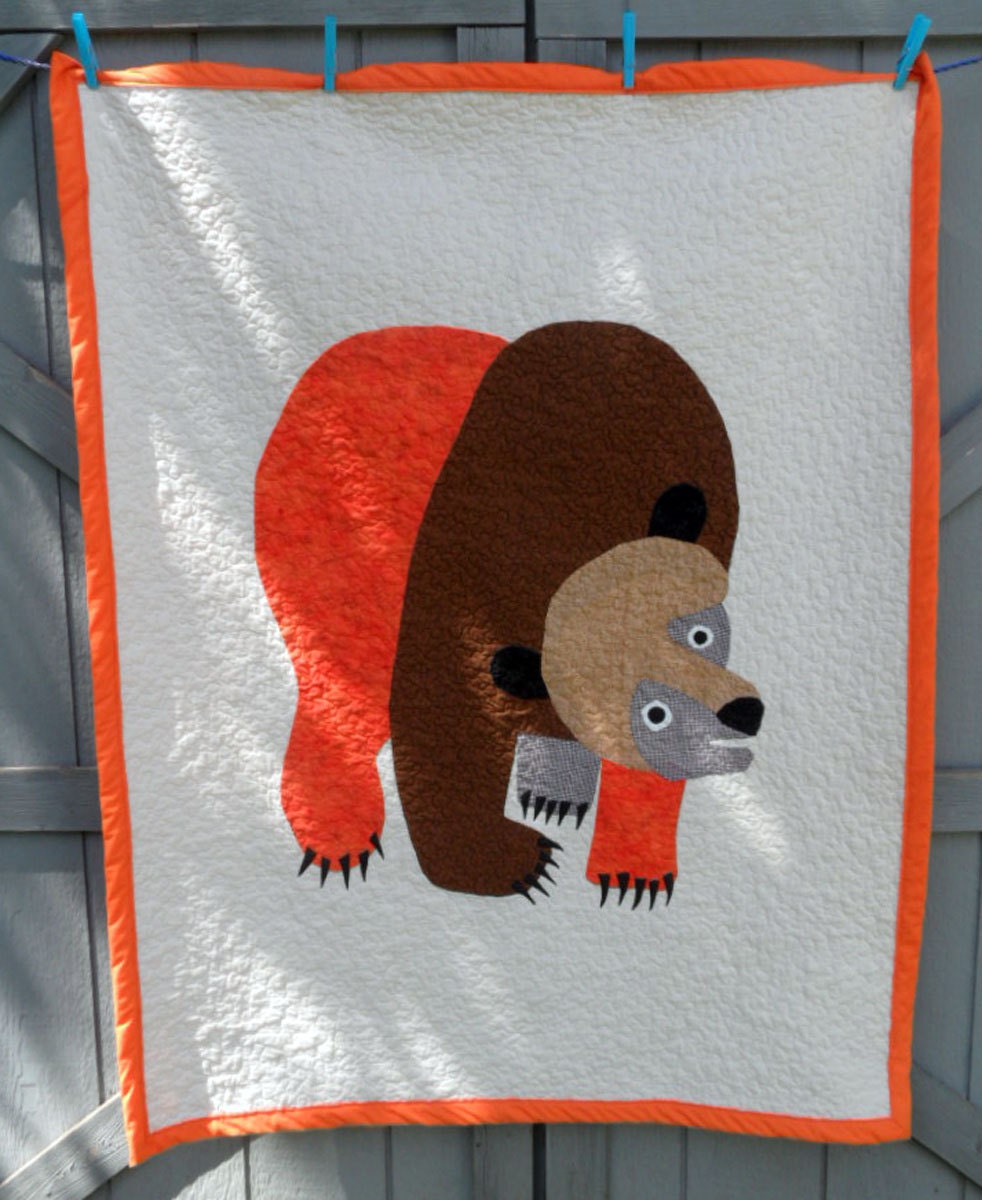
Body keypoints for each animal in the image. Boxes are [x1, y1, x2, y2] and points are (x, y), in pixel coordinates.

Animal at [255, 321, 762, 905]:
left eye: (701, 634)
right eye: (654, 713)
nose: (742, 712)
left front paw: (633, 869)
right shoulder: (466, 573)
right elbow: (449, 716)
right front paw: (517, 861)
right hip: (329, 524)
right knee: (348, 672)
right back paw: (340, 836)